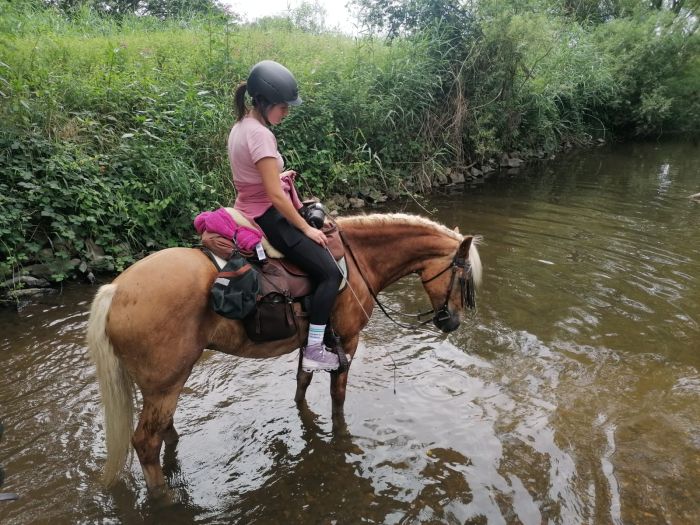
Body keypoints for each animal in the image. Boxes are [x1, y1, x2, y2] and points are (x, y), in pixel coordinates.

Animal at [86, 211, 482, 494]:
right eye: (464, 280)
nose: (452, 323)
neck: (358, 261)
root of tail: (116, 290)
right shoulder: (347, 341)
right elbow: (338, 397)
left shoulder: (312, 343)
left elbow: (302, 385)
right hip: (166, 383)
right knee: (145, 443)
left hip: (161, 384)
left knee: (162, 430)